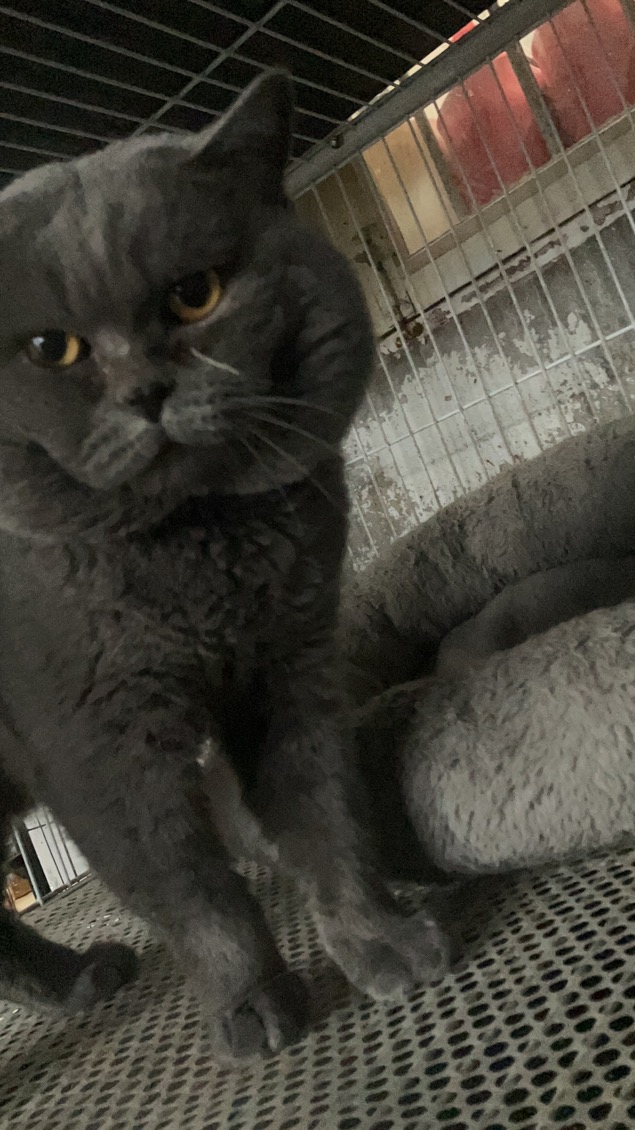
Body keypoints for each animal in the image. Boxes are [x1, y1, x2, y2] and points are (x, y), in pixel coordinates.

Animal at [0, 72, 448, 1060]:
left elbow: (327, 816)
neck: (196, 554)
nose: (147, 392)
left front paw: (380, 939)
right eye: (50, 348)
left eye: (196, 295)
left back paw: (81, 979)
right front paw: (252, 1005)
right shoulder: (93, 741)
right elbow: (192, 889)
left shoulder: (289, 670)